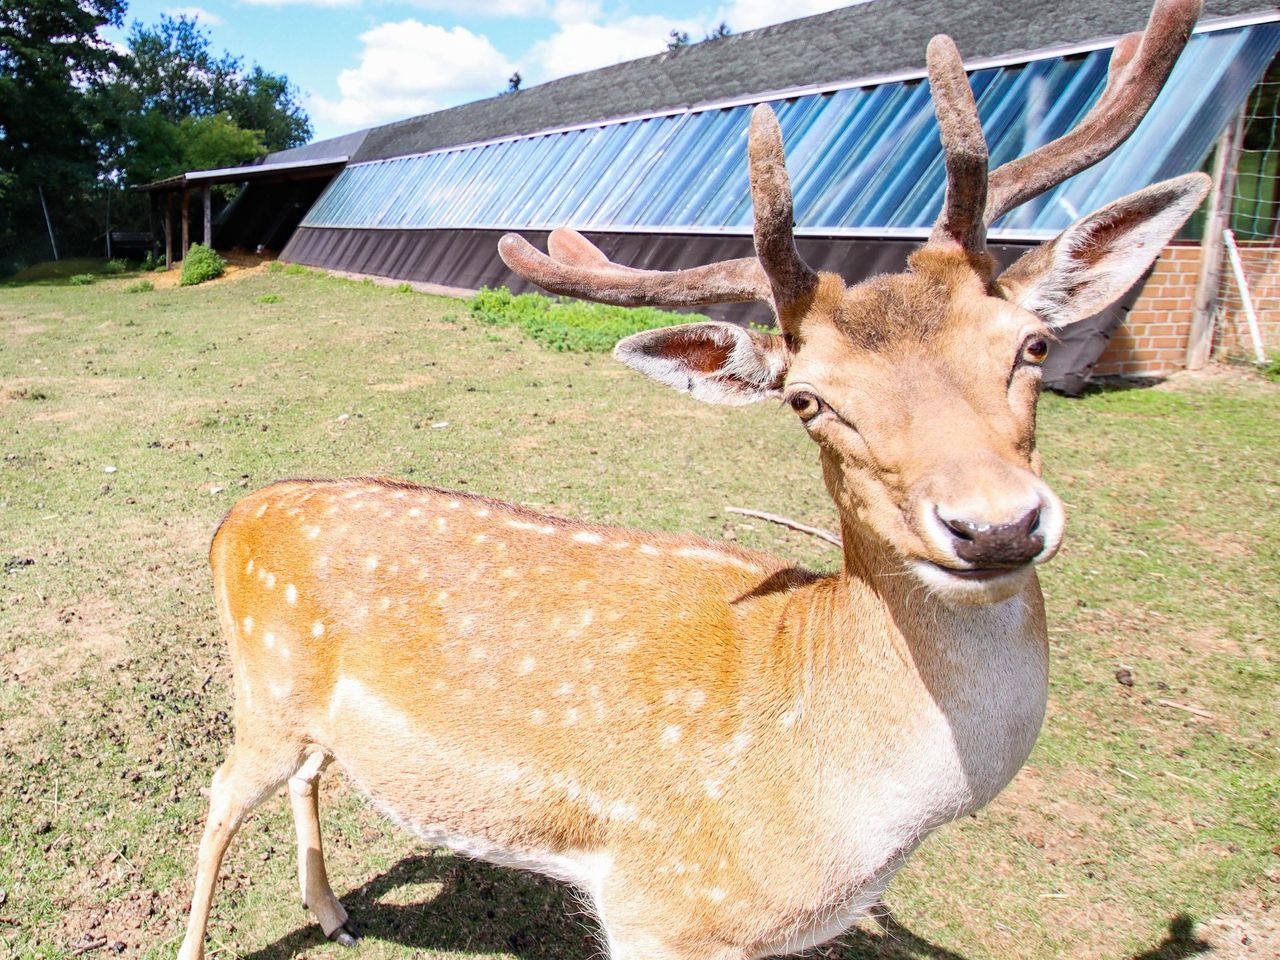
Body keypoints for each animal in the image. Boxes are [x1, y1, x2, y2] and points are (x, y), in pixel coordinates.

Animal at [177, 1, 1208, 960]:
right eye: (809, 401)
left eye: (1030, 347)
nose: (995, 525)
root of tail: (233, 520)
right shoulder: (660, 903)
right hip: (264, 692)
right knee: (222, 792)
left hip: (304, 716)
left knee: (308, 774)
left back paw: (331, 909)